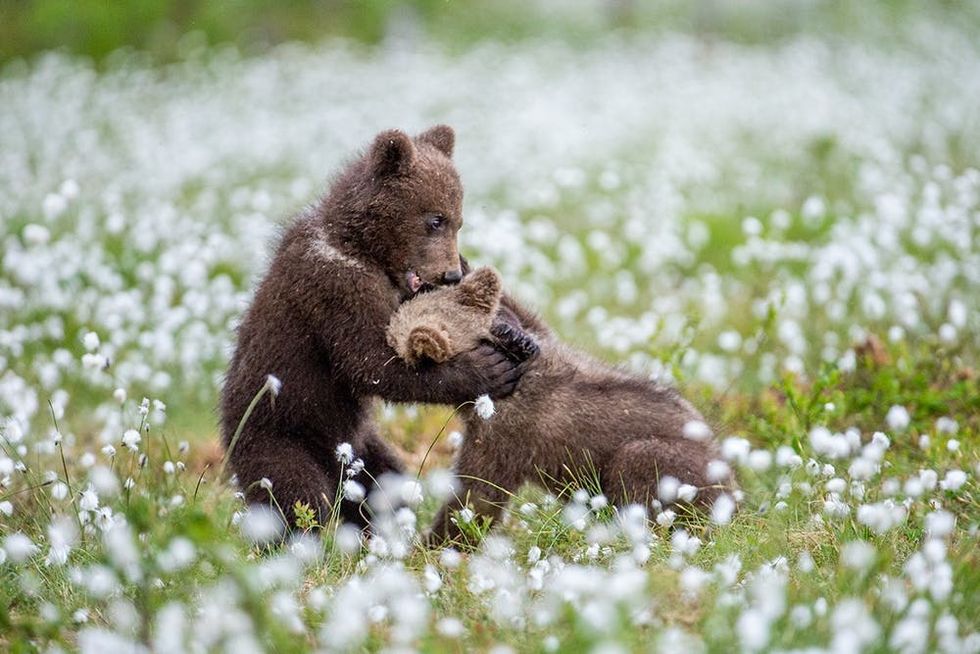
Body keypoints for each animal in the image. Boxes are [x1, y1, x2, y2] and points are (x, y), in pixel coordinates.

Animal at [219, 125, 537, 530]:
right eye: (436, 219)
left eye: (458, 220)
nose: (450, 273)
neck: (361, 247)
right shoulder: (335, 287)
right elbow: (370, 362)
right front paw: (487, 369)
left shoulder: (398, 291)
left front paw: (513, 332)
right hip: (276, 435)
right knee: (294, 497)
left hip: (360, 448)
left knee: (385, 485)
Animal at [386, 266, 736, 546]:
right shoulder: (539, 337)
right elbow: (526, 316)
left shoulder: (501, 436)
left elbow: (476, 498)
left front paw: (429, 546)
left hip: (668, 463)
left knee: (640, 474)